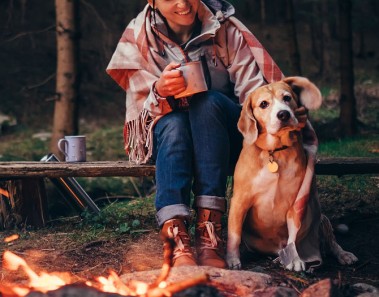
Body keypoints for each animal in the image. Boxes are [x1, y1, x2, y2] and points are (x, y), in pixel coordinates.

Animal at [227, 76, 358, 270]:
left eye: (287, 98)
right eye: (264, 104)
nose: (283, 114)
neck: (275, 152)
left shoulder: (295, 204)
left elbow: (293, 237)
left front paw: (295, 259)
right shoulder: (240, 201)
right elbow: (234, 234)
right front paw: (232, 259)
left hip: (320, 217)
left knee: (331, 241)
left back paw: (343, 254)